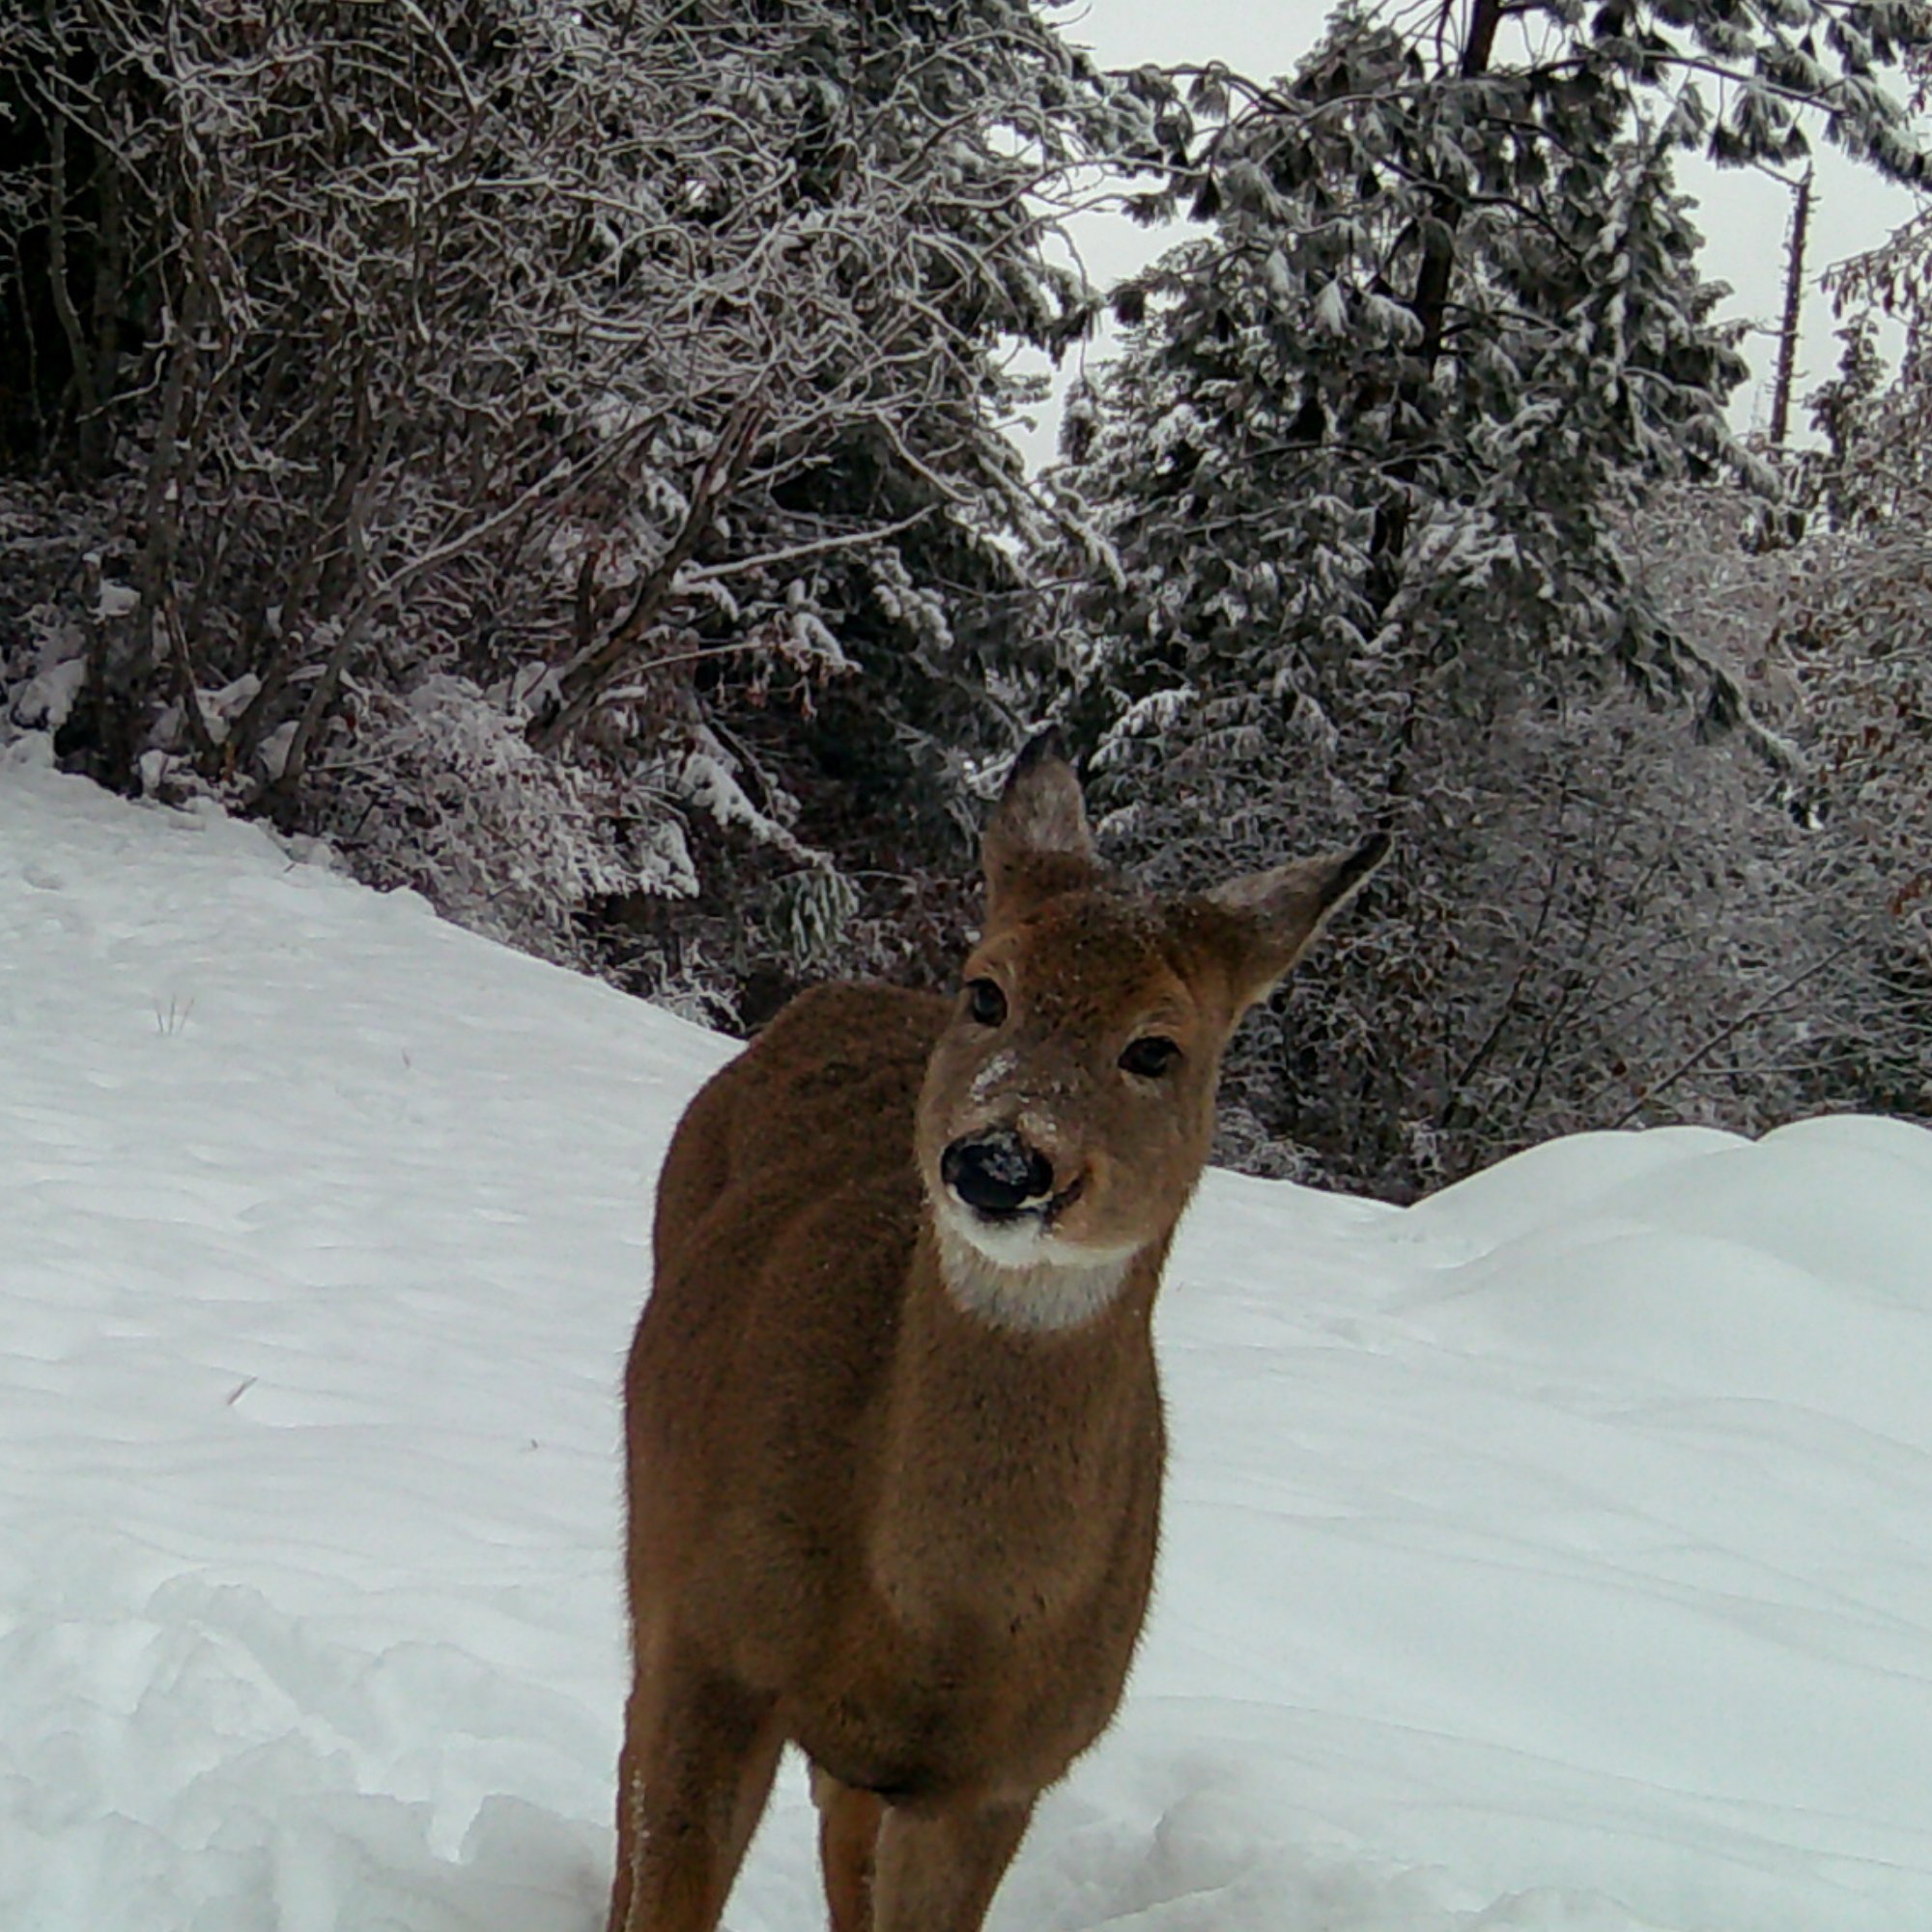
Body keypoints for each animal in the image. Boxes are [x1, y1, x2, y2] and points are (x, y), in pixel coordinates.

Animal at [609, 735, 1387, 1932]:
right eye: (987, 989)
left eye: (1156, 1048)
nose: (1000, 1159)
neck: (933, 1617)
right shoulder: (714, 1641)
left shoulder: (1002, 1773)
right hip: (656, 1533)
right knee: (628, 1767)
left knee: (839, 1830)